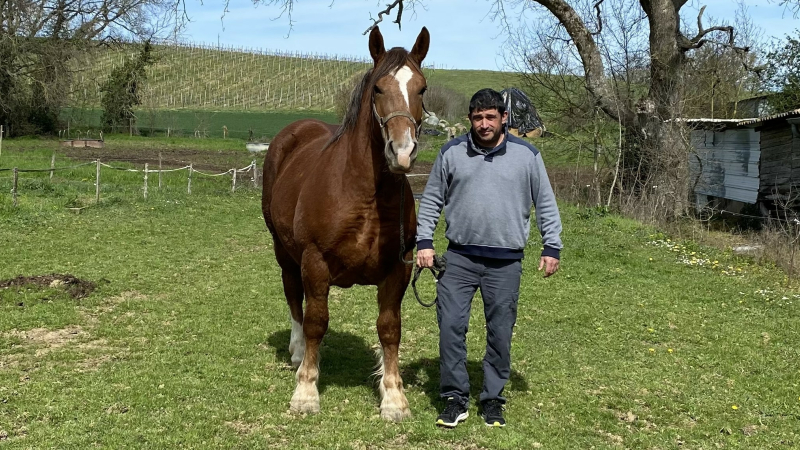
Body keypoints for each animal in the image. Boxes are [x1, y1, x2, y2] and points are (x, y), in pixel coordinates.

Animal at [261, 26, 429, 422]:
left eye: (422, 88)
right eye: (378, 88)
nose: (402, 151)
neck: (365, 193)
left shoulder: (398, 269)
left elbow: (389, 328)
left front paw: (393, 396)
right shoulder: (315, 262)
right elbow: (316, 321)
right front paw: (306, 392)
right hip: (284, 252)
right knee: (293, 296)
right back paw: (296, 352)